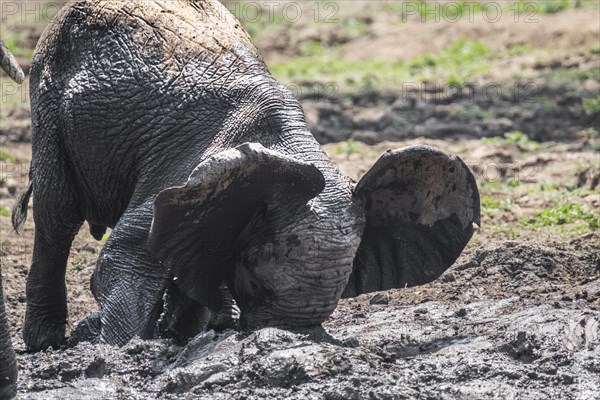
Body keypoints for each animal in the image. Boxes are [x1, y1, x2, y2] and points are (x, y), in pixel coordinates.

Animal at [12, 0, 478, 350]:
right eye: (257, 271)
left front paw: (186, 334)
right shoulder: (181, 173)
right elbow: (121, 260)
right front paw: (120, 350)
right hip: (48, 96)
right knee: (57, 214)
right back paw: (46, 344)